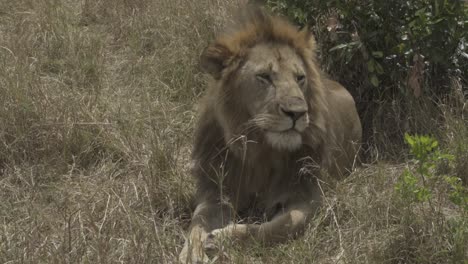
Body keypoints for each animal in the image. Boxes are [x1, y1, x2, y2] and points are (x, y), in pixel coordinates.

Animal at [179, 7, 362, 262]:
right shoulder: (217, 190)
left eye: (300, 78)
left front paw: (223, 238)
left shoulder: (308, 195)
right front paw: (191, 252)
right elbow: (198, 222)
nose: (297, 112)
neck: (261, 151)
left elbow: (279, 227)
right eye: (264, 76)